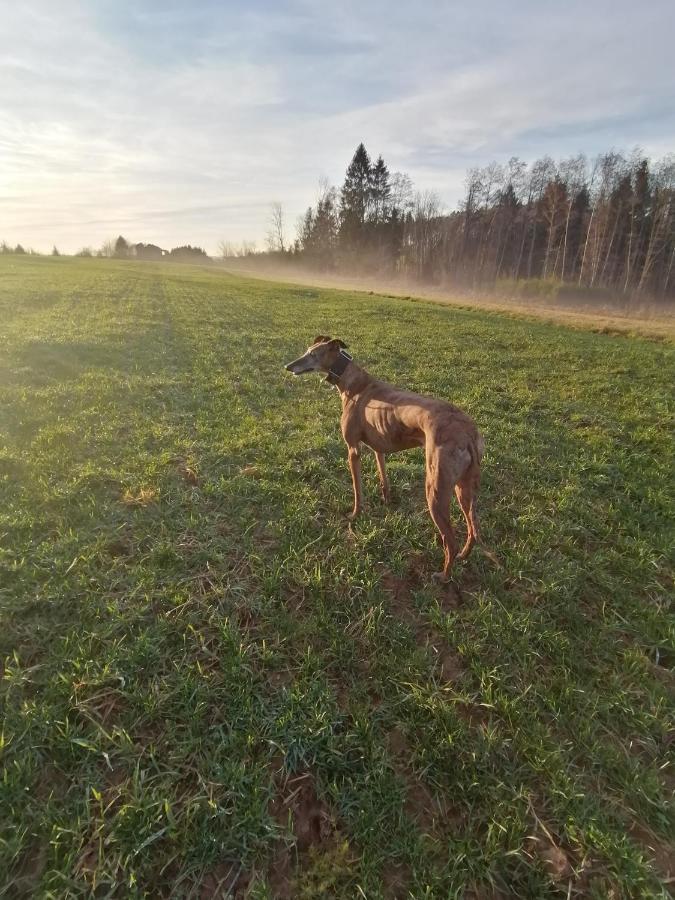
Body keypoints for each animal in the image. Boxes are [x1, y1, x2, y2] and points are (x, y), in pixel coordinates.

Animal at [286, 336, 486, 576]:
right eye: (308, 350)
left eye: (313, 355)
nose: (288, 366)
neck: (354, 384)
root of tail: (467, 432)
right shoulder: (378, 448)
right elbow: (384, 478)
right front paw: (387, 500)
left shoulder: (353, 450)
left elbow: (357, 490)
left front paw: (355, 515)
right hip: (464, 488)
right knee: (473, 529)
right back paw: (464, 556)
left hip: (435, 488)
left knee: (450, 540)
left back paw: (443, 575)